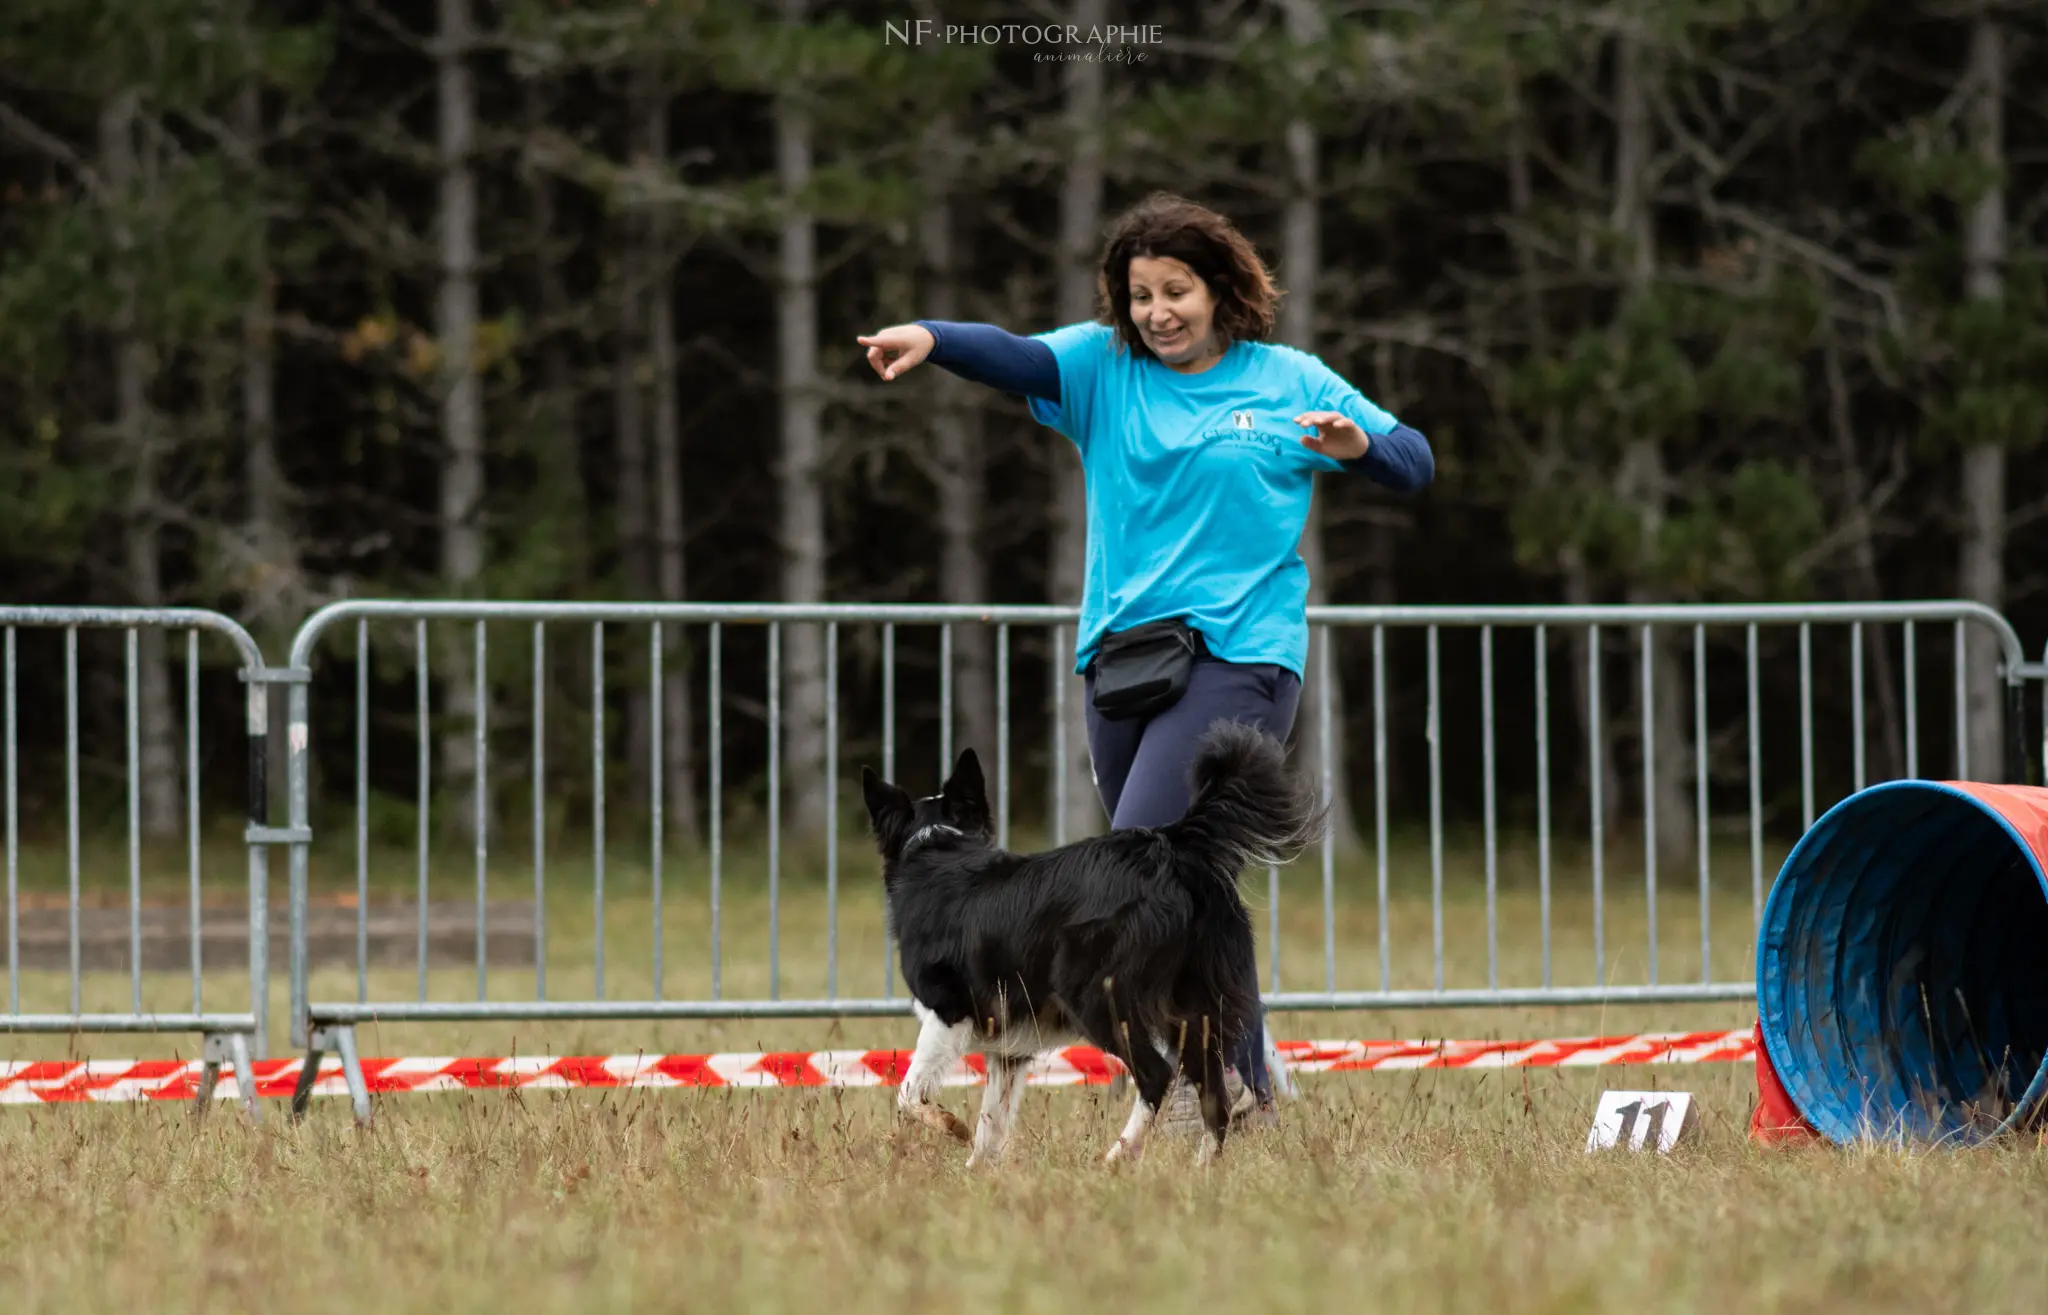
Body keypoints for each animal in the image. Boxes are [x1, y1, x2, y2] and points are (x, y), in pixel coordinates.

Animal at [864, 716, 1327, 1163]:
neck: (937, 849)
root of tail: (1173, 845)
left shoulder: (947, 1011)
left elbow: (910, 1093)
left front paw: (950, 1127)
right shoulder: (1009, 1051)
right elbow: (989, 1129)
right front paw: (979, 1176)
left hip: (1095, 994)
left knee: (1158, 1075)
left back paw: (1118, 1157)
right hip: (1198, 1002)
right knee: (1214, 1092)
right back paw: (1201, 1169)